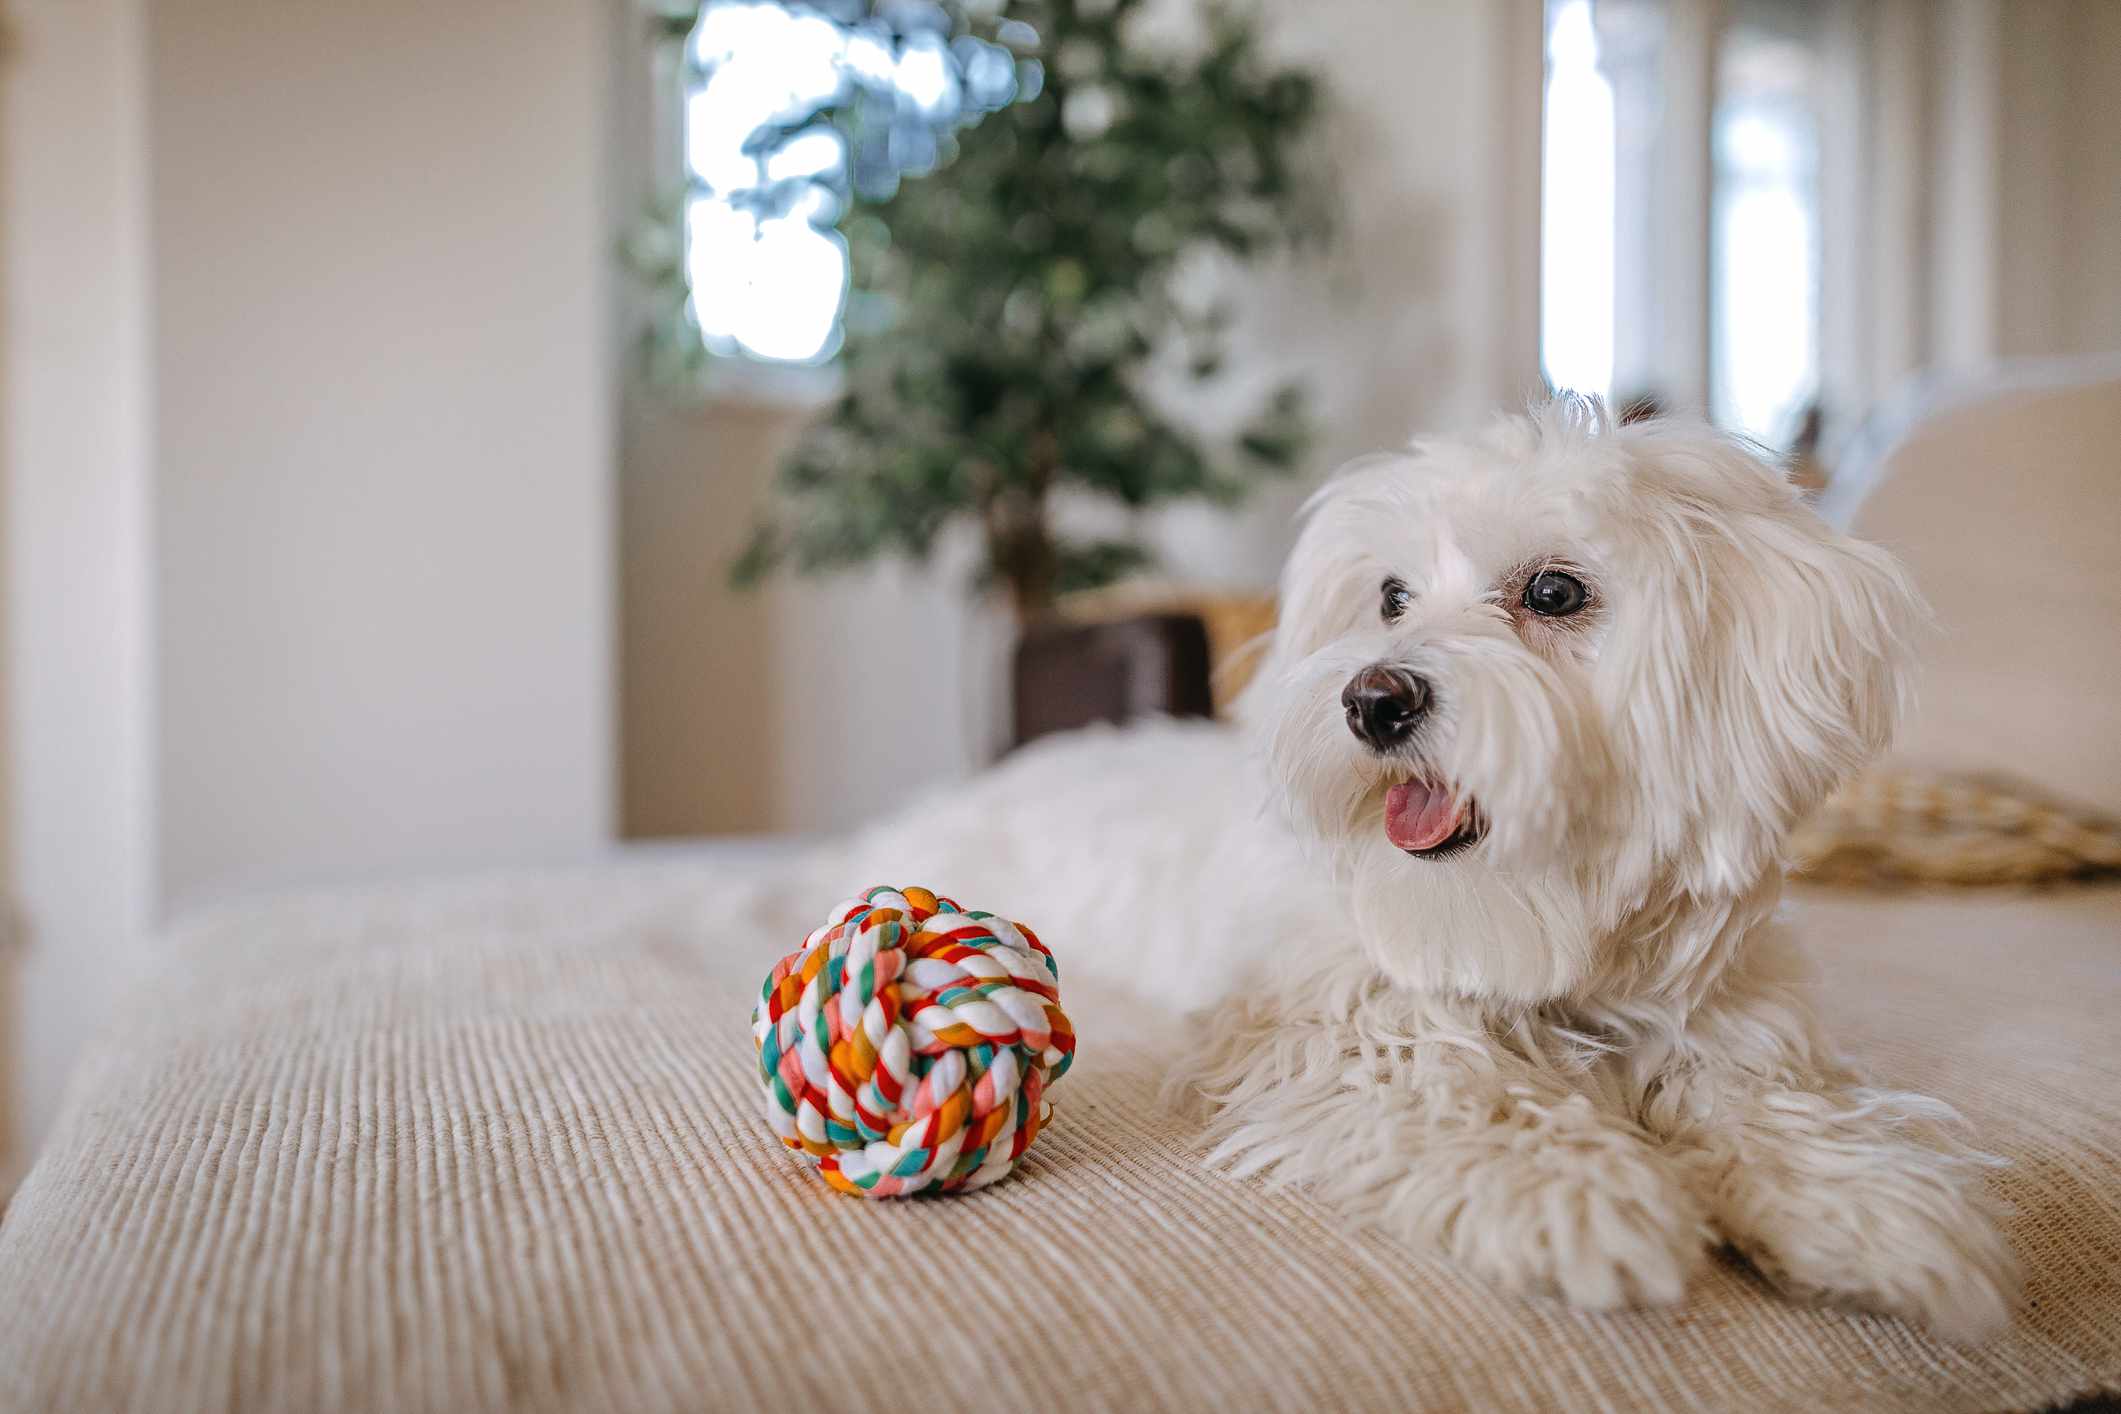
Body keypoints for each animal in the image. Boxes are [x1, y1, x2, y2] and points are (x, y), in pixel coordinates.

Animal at [818, 398, 2010, 1339]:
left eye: (1556, 593)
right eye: (1390, 596)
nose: (1372, 700)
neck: (1545, 930)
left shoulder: (1725, 1011)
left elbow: (1760, 1097)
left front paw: (1868, 1201)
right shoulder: (1314, 1014)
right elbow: (1450, 1079)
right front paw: (1577, 1188)